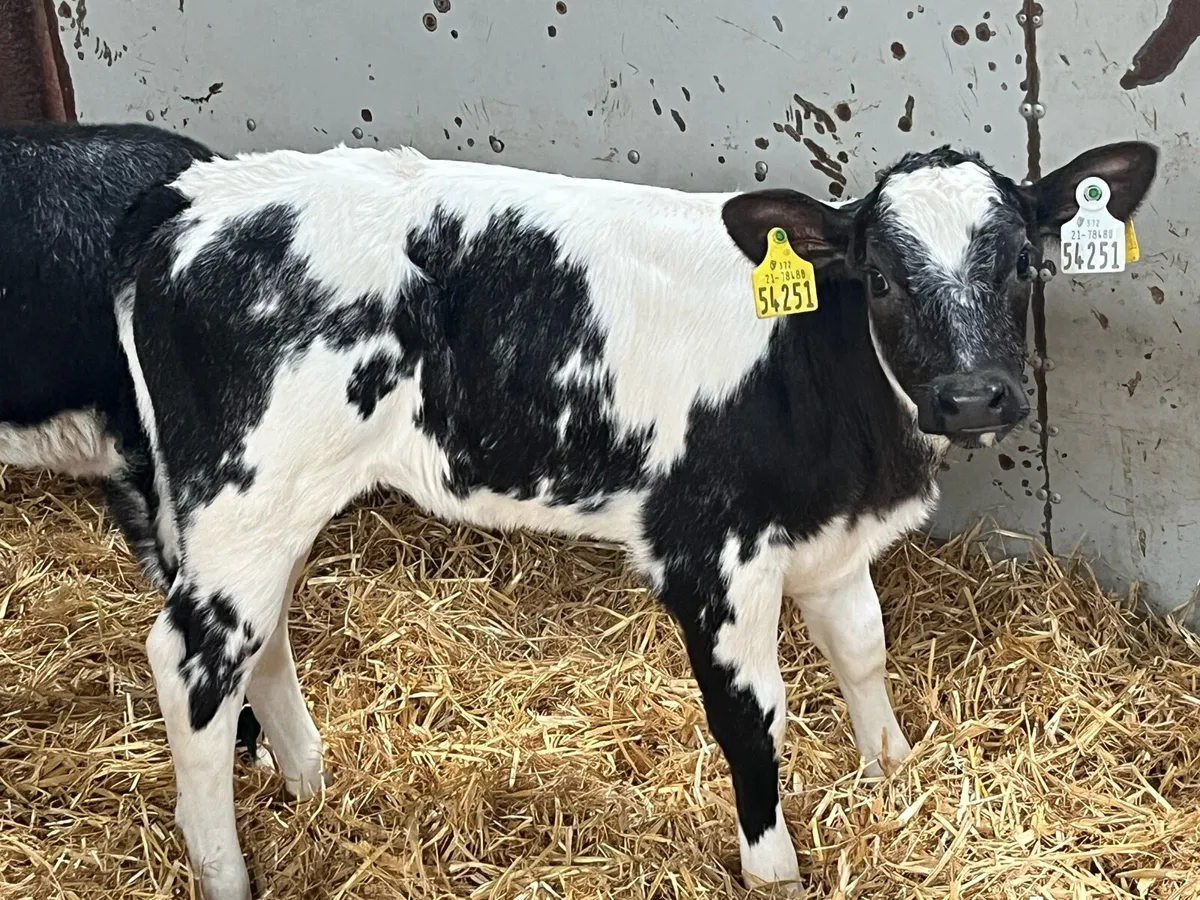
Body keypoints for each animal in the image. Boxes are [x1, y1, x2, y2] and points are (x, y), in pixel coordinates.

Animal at [110, 139, 1157, 898]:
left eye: (1022, 263)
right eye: (883, 277)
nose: (974, 396)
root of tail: (199, 194)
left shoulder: (827, 536)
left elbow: (864, 649)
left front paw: (894, 779)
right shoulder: (712, 555)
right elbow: (753, 716)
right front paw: (775, 873)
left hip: (271, 505)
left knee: (264, 637)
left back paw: (312, 782)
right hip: (242, 495)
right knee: (191, 663)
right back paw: (228, 872)